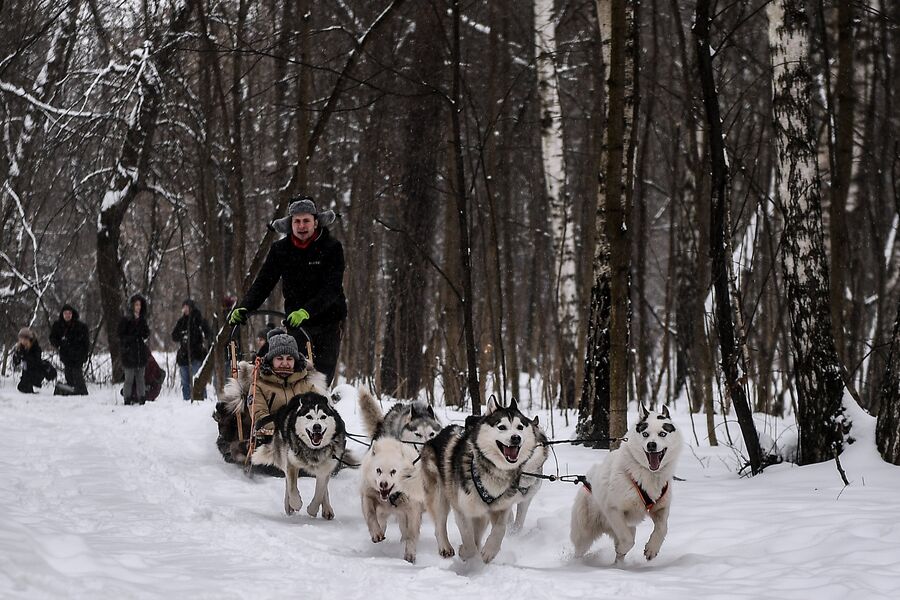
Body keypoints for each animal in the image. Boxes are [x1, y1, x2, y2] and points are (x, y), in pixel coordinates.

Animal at [358, 436, 426, 564]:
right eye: (378, 470)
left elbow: (411, 534)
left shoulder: (412, 510)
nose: (383, 484)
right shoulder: (367, 496)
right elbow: (371, 516)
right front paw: (376, 534)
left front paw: (410, 555)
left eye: (393, 471)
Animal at [420, 398, 536, 564]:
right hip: (440, 496)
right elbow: (467, 537)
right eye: (502, 427)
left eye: (520, 427)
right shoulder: (462, 509)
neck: (494, 470)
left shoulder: (501, 507)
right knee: (439, 525)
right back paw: (445, 547)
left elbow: (500, 529)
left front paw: (489, 551)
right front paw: (466, 552)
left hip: (481, 514)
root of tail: (437, 435)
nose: (516, 438)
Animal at [568, 406, 684, 564]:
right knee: (580, 547)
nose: (651, 445)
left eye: (662, 433)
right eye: (645, 434)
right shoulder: (613, 509)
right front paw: (624, 548)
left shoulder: (661, 508)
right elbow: (627, 540)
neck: (647, 474)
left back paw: (619, 565)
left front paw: (652, 549)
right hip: (584, 531)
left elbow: (662, 528)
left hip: (627, 526)